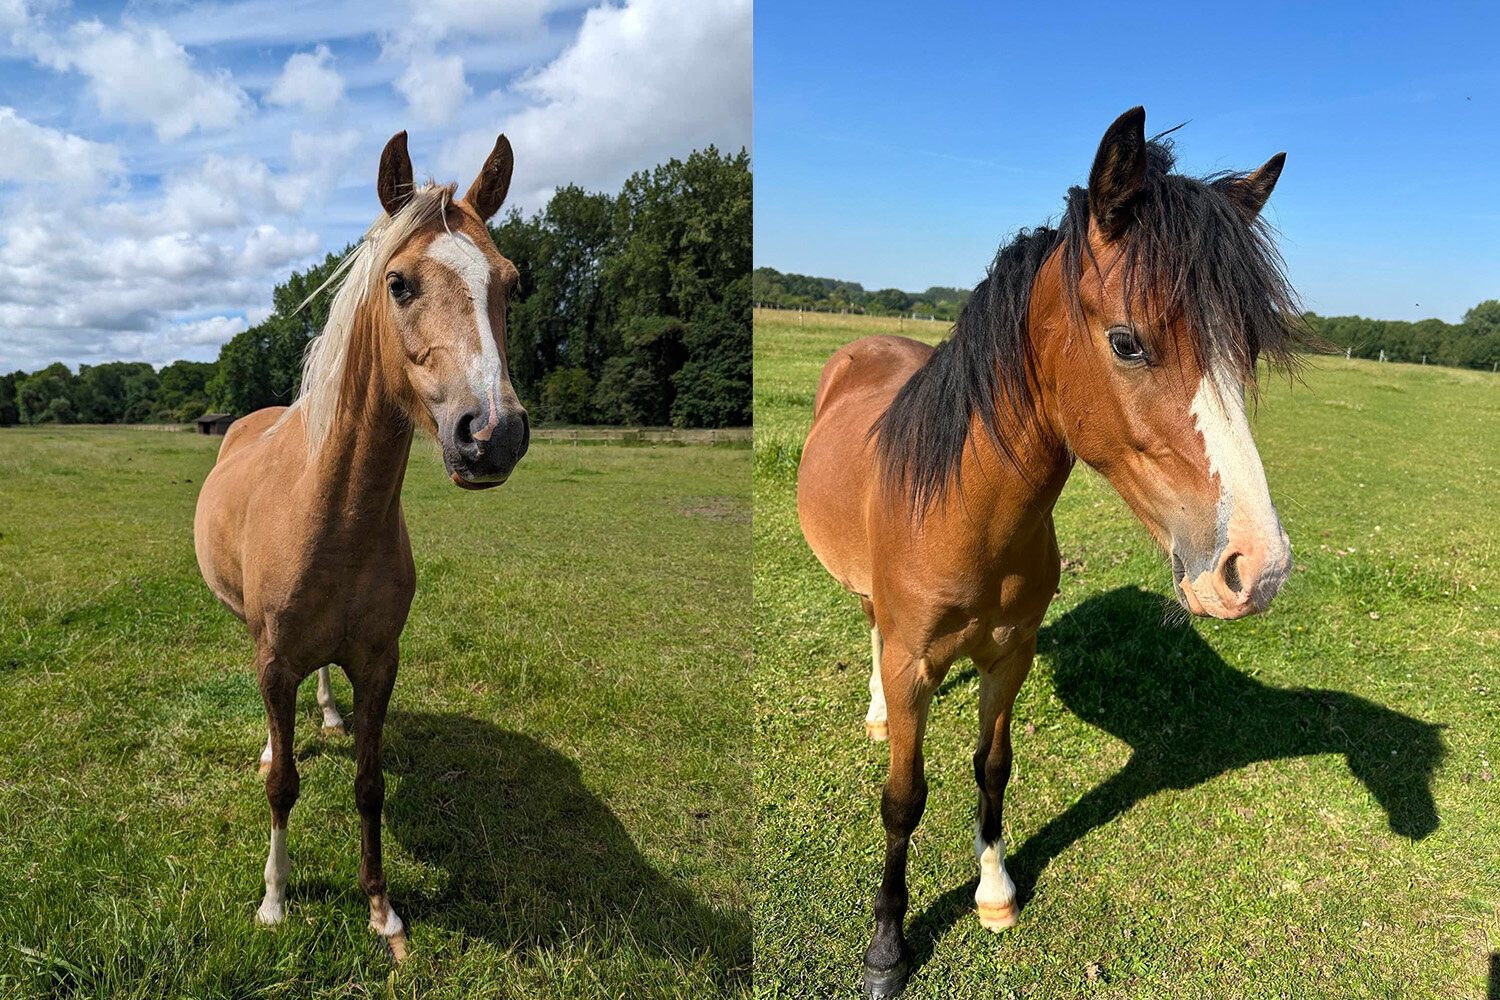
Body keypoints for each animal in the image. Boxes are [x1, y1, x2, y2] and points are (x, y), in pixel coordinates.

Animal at [193, 128, 531, 959]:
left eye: (513, 285)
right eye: (400, 283)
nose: (492, 436)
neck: (333, 515)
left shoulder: (380, 663)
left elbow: (369, 784)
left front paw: (382, 909)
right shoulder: (273, 661)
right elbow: (283, 786)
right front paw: (276, 899)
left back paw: (326, 717)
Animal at [798, 105, 1302, 995]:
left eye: (1244, 348)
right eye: (1128, 342)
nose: (1258, 567)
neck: (965, 516)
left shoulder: (1012, 655)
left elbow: (992, 768)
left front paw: (995, 890)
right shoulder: (913, 662)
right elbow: (903, 799)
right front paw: (887, 946)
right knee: (869, 628)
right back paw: (875, 714)